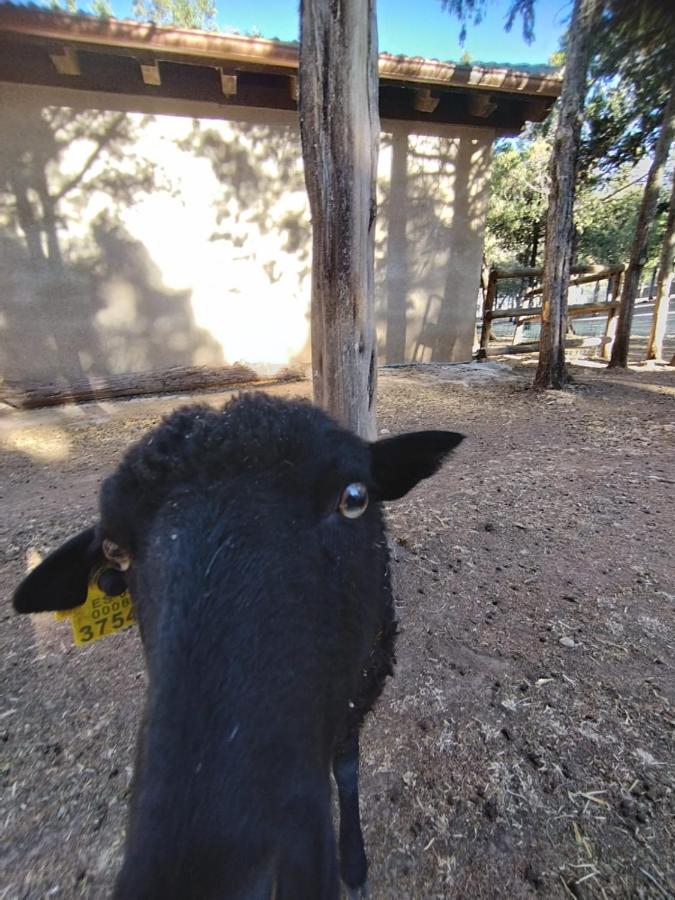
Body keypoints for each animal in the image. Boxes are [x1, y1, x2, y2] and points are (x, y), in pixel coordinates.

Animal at [14, 394, 464, 900]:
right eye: (115, 553)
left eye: (353, 499)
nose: (222, 881)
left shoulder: (363, 676)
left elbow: (347, 766)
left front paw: (355, 866)